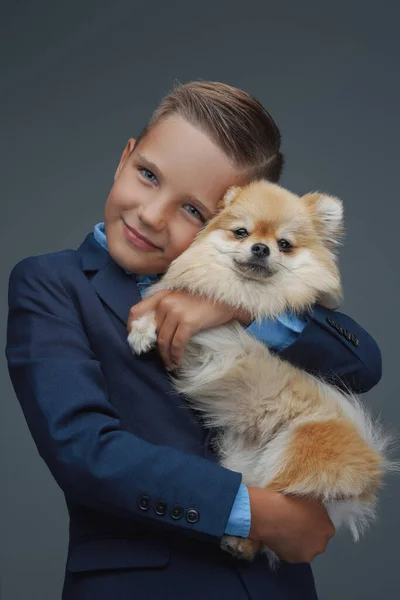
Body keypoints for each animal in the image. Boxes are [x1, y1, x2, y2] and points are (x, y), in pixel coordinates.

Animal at [127, 182, 390, 568]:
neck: (245, 285)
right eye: (241, 232)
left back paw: (242, 544)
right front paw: (142, 330)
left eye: (284, 244)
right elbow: (160, 301)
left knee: (281, 501)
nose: (261, 248)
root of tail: (372, 465)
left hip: (297, 444)